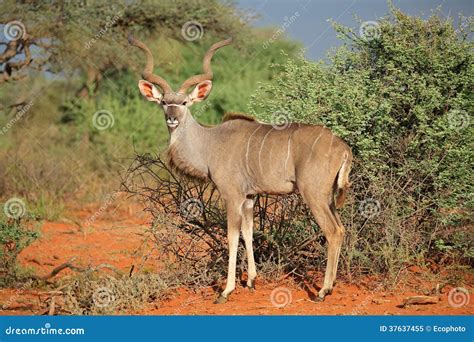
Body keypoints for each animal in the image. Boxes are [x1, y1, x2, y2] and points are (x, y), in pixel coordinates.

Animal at [129, 35, 352, 302]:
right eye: (163, 102)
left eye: (184, 102)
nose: (171, 118)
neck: (210, 142)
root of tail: (342, 147)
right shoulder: (249, 197)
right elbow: (248, 232)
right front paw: (252, 281)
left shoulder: (232, 195)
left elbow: (232, 236)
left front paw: (226, 290)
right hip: (328, 197)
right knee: (341, 228)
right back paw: (331, 285)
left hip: (314, 194)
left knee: (333, 231)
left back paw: (323, 290)